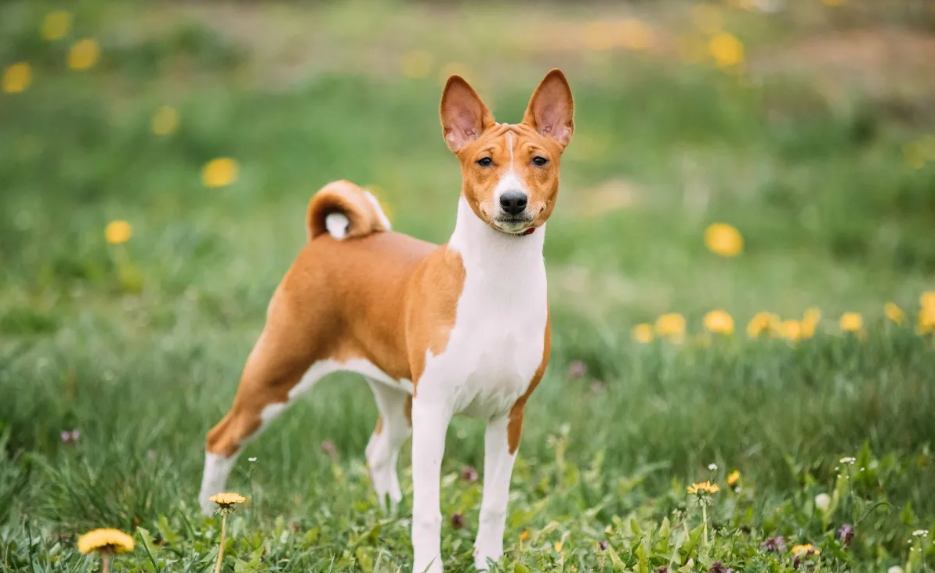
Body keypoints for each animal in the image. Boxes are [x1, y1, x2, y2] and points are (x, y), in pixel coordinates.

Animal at [201, 69, 576, 568]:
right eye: (484, 161)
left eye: (539, 160)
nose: (512, 200)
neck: (498, 285)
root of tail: (325, 238)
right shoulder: (435, 409)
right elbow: (430, 512)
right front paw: (429, 567)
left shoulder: (508, 415)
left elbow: (494, 505)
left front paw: (488, 564)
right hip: (277, 373)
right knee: (220, 439)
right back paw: (208, 517)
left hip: (396, 395)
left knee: (378, 450)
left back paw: (389, 513)